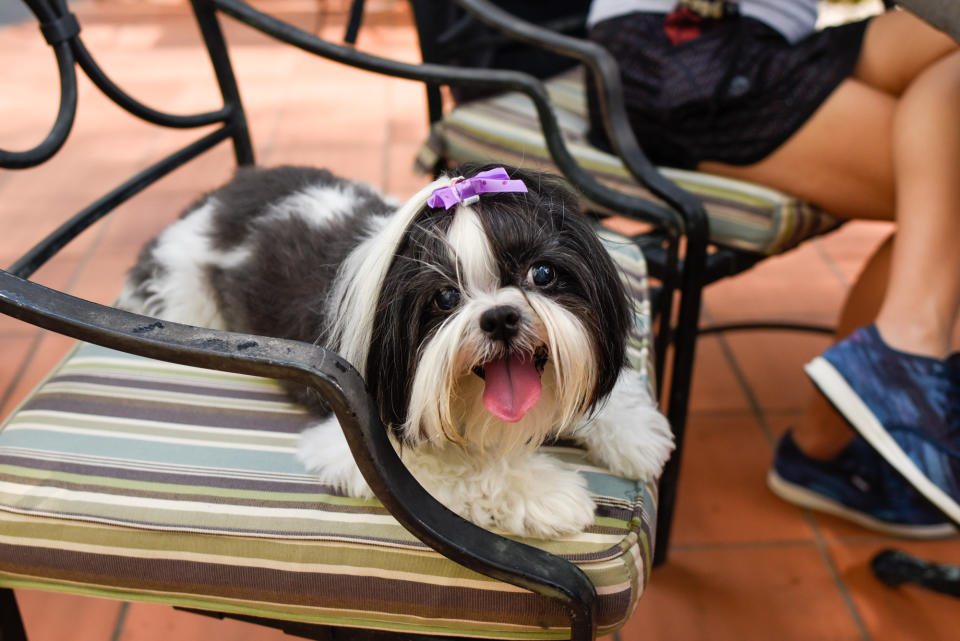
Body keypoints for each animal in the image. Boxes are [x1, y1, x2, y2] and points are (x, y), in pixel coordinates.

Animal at [120, 162, 672, 536]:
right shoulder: (355, 438)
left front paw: (632, 429)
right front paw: (548, 492)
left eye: (541, 273)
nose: (500, 316)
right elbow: (461, 465)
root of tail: (210, 201)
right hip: (186, 294)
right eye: (444, 297)